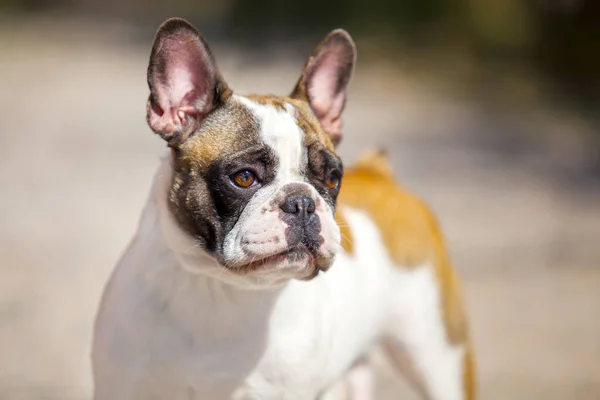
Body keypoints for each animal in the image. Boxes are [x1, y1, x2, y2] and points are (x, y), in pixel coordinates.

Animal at [91, 17, 476, 398]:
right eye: (244, 177)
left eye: (332, 178)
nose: (302, 202)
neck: (220, 287)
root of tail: (379, 175)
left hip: (440, 357)